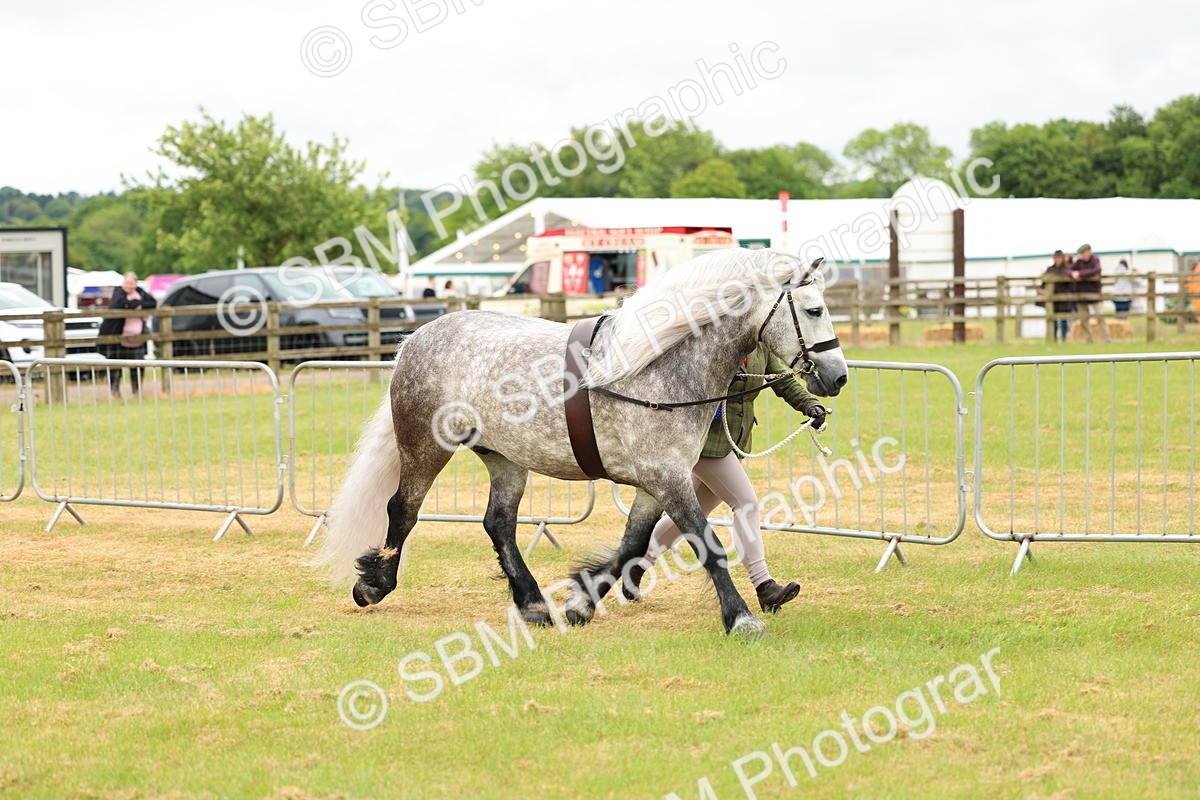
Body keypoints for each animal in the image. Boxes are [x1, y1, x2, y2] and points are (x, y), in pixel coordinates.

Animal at [313, 248, 848, 636]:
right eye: (814, 309)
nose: (838, 377)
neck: (658, 367)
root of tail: (414, 340)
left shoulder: (655, 484)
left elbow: (633, 544)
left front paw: (581, 602)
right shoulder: (669, 479)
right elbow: (708, 544)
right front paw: (741, 618)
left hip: (505, 459)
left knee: (498, 524)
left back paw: (533, 605)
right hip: (426, 446)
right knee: (402, 509)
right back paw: (374, 585)